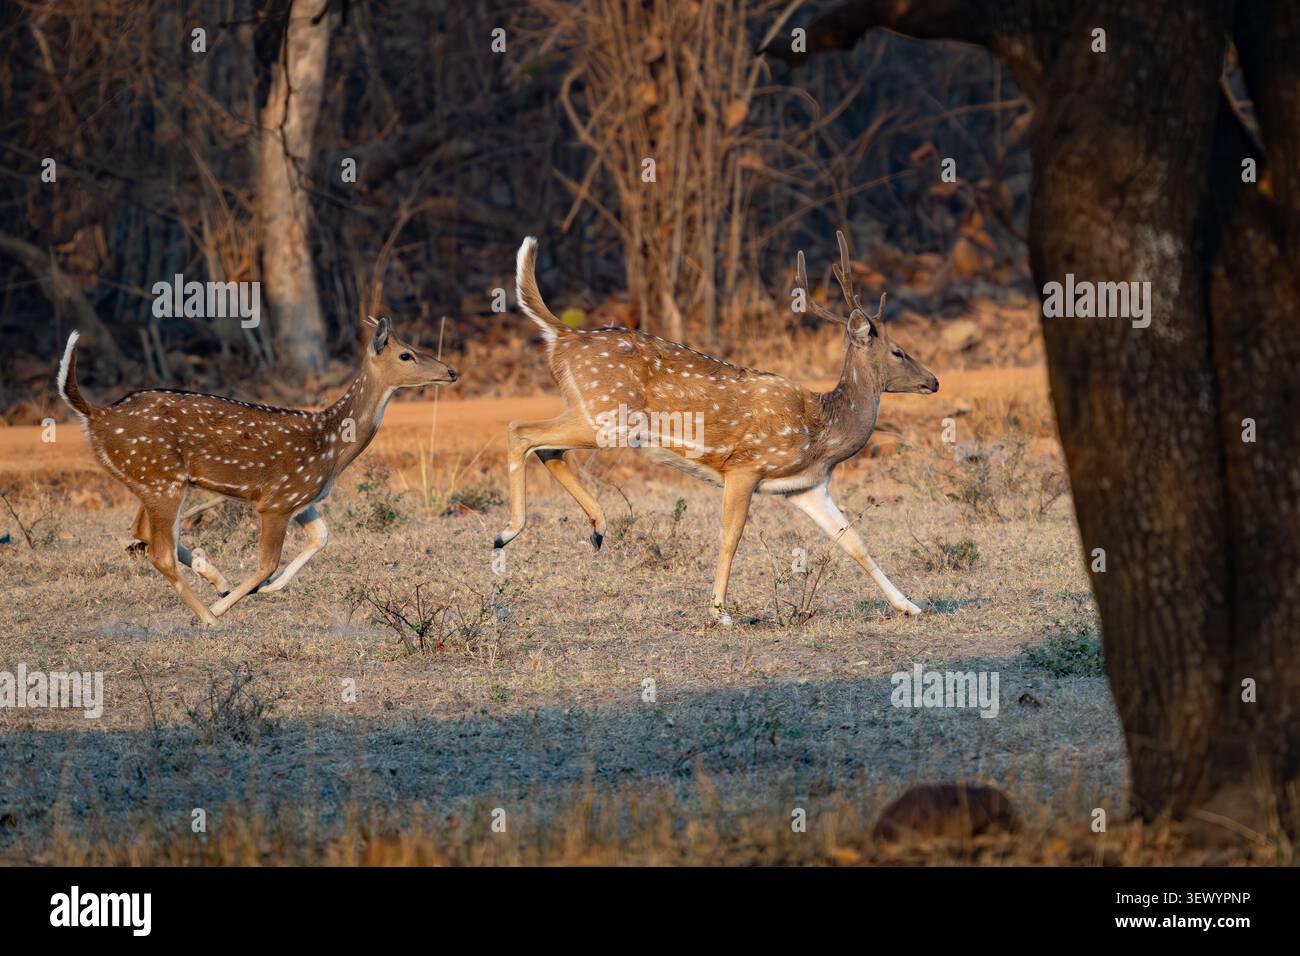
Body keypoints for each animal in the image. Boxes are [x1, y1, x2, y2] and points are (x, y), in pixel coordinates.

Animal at [57, 316, 458, 625]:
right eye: (406, 354)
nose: (451, 371)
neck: (330, 445)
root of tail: (96, 415)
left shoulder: (302, 497)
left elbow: (321, 537)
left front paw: (270, 587)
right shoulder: (277, 500)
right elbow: (267, 562)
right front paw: (240, 598)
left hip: (152, 479)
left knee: (140, 532)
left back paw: (215, 577)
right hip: (161, 479)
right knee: (159, 552)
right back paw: (209, 615)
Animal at [496, 233, 938, 624]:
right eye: (898, 351)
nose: (933, 381)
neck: (822, 430)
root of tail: (562, 335)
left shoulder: (805, 486)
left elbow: (853, 540)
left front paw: (909, 606)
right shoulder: (745, 466)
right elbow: (731, 536)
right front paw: (719, 612)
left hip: (591, 413)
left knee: (548, 447)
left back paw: (597, 527)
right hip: (604, 413)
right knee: (521, 430)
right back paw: (507, 534)